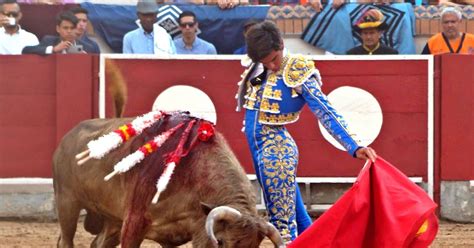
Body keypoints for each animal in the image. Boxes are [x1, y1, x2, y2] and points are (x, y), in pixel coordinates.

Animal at [52, 113, 286, 247]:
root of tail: (65, 139)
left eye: (254, 247)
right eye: (220, 241)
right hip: (67, 203)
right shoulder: (133, 222)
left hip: (112, 219)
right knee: (66, 241)